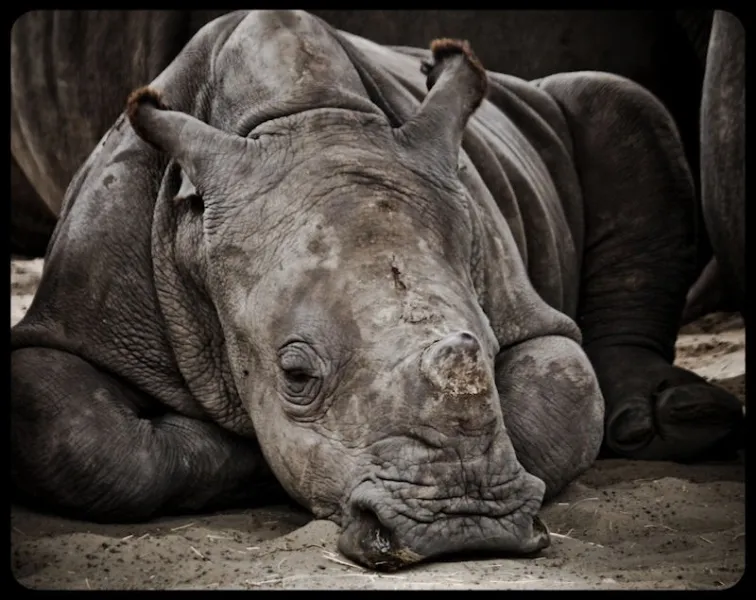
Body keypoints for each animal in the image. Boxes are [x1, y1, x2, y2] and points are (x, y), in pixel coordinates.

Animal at [11, 10, 743, 571]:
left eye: (485, 342)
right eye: (295, 374)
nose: (465, 527)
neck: (302, 120)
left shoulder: (527, 313)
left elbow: (560, 400)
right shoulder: (76, 314)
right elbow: (67, 426)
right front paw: (243, 456)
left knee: (626, 106)